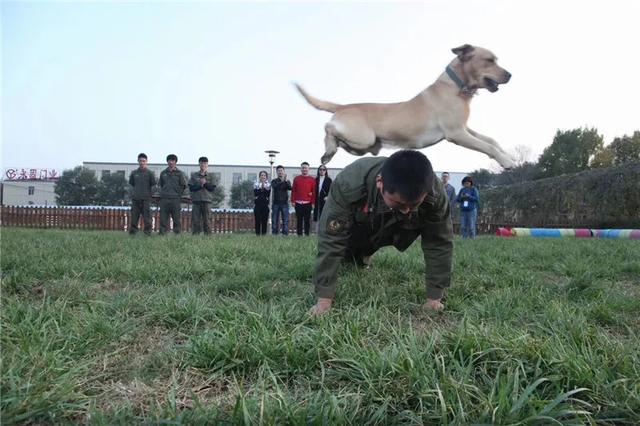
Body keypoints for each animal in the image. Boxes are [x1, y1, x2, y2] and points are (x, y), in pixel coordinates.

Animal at [298, 44, 516, 168]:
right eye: (489, 60)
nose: (510, 75)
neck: (455, 86)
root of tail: (343, 106)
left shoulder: (464, 128)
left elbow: (491, 140)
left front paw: (510, 157)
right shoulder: (456, 133)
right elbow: (487, 146)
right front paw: (506, 162)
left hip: (365, 146)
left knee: (339, 141)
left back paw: (328, 153)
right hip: (363, 137)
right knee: (328, 127)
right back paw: (328, 149)